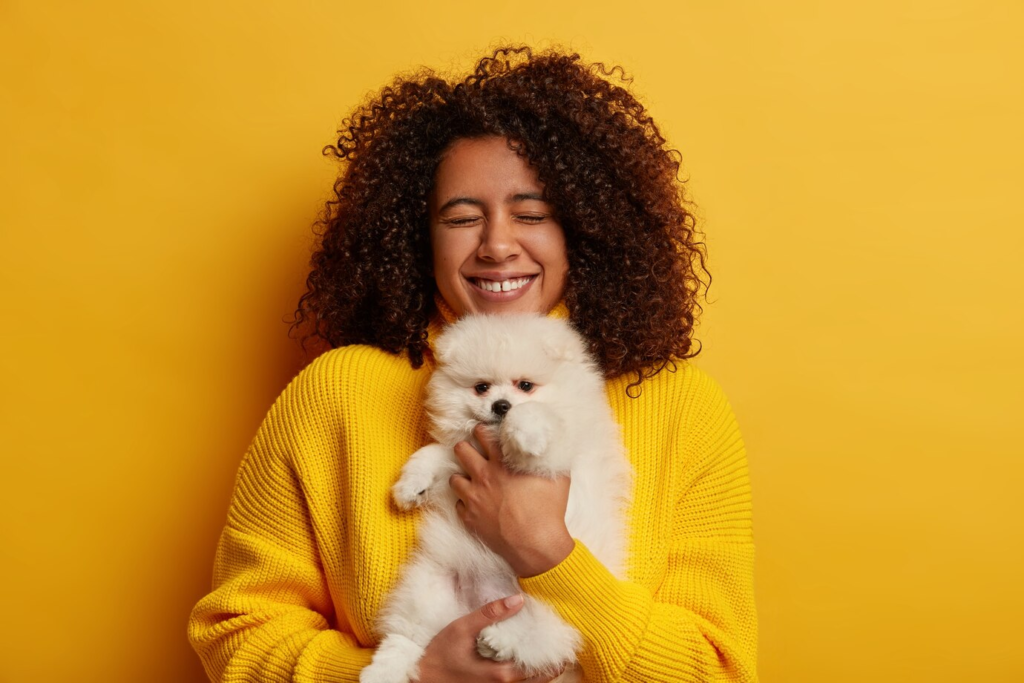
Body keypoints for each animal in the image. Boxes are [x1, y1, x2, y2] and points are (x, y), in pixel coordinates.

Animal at [360, 315, 630, 683]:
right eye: (481, 387)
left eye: (526, 386)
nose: (501, 406)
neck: (494, 441)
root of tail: (479, 602)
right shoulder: (462, 455)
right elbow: (434, 452)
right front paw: (410, 487)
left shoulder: (556, 458)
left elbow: (536, 421)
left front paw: (527, 432)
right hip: (428, 588)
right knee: (407, 638)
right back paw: (382, 671)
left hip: (559, 606)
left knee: (546, 636)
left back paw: (501, 640)